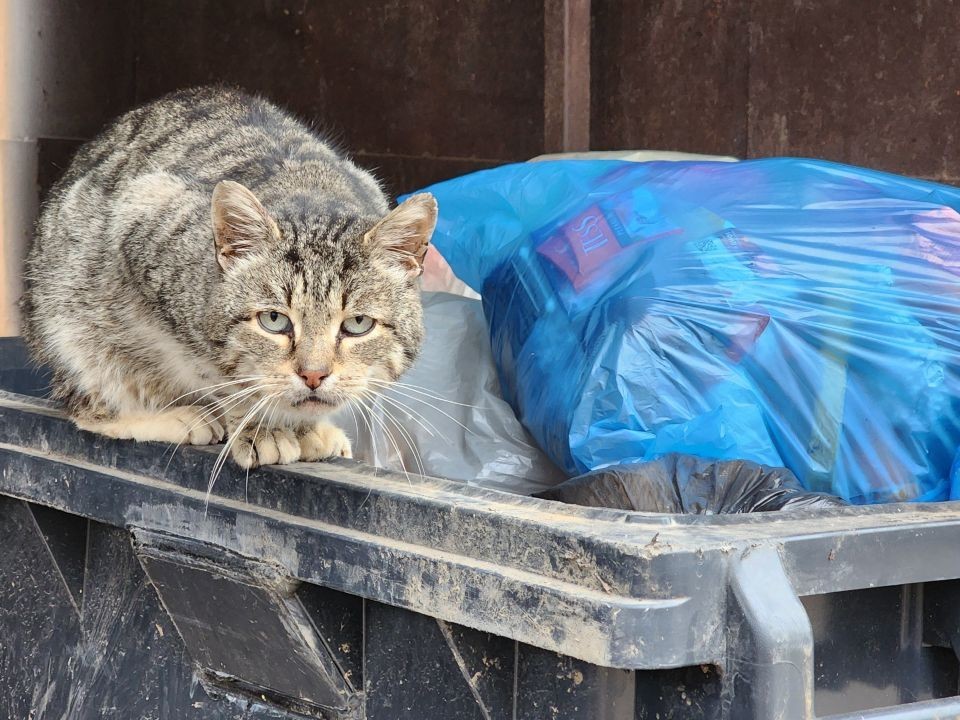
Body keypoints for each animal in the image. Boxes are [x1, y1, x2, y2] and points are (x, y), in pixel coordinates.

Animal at [21, 86, 436, 466]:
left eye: (357, 325)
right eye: (274, 320)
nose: (314, 376)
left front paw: (301, 427)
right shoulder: (142, 214)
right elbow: (222, 375)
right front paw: (263, 427)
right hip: (69, 321)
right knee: (88, 407)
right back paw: (177, 416)